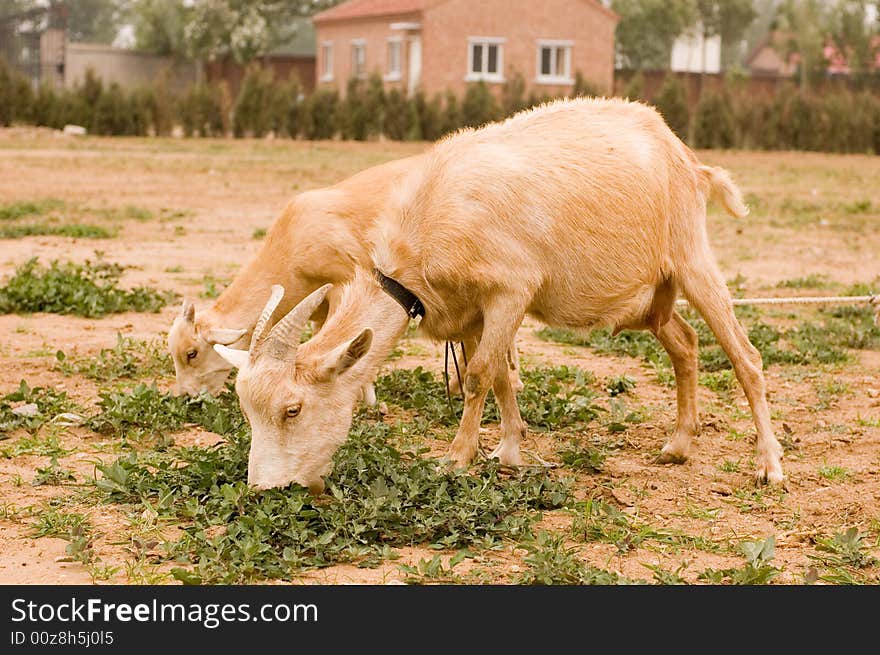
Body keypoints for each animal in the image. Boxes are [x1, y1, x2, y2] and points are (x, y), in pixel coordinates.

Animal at [217, 98, 788, 492]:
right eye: (247, 410)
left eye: (292, 410)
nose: (264, 489)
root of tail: (685, 156)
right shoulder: (469, 312)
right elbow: (498, 378)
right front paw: (508, 450)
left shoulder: (510, 291)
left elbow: (477, 378)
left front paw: (456, 458)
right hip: (653, 298)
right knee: (686, 345)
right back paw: (678, 446)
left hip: (691, 257)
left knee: (746, 356)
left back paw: (768, 465)